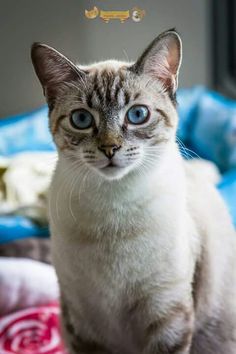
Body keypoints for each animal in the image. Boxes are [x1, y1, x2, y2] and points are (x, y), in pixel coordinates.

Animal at [31, 29, 236, 352]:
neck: (113, 208)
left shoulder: (167, 315)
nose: (110, 148)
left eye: (137, 114)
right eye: (82, 119)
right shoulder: (83, 325)